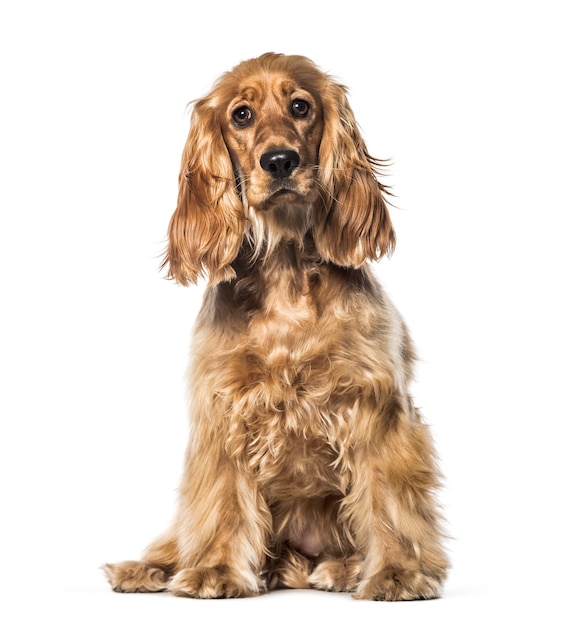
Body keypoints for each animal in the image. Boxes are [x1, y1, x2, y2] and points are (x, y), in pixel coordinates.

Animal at [104, 52, 446, 600]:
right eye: (241, 115)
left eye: (301, 106)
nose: (280, 161)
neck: (286, 270)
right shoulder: (223, 406)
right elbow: (222, 499)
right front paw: (216, 570)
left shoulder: (376, 406)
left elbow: (387, 495)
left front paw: (396, 572)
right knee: (181, 534)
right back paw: (148, 568)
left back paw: (343, 569)